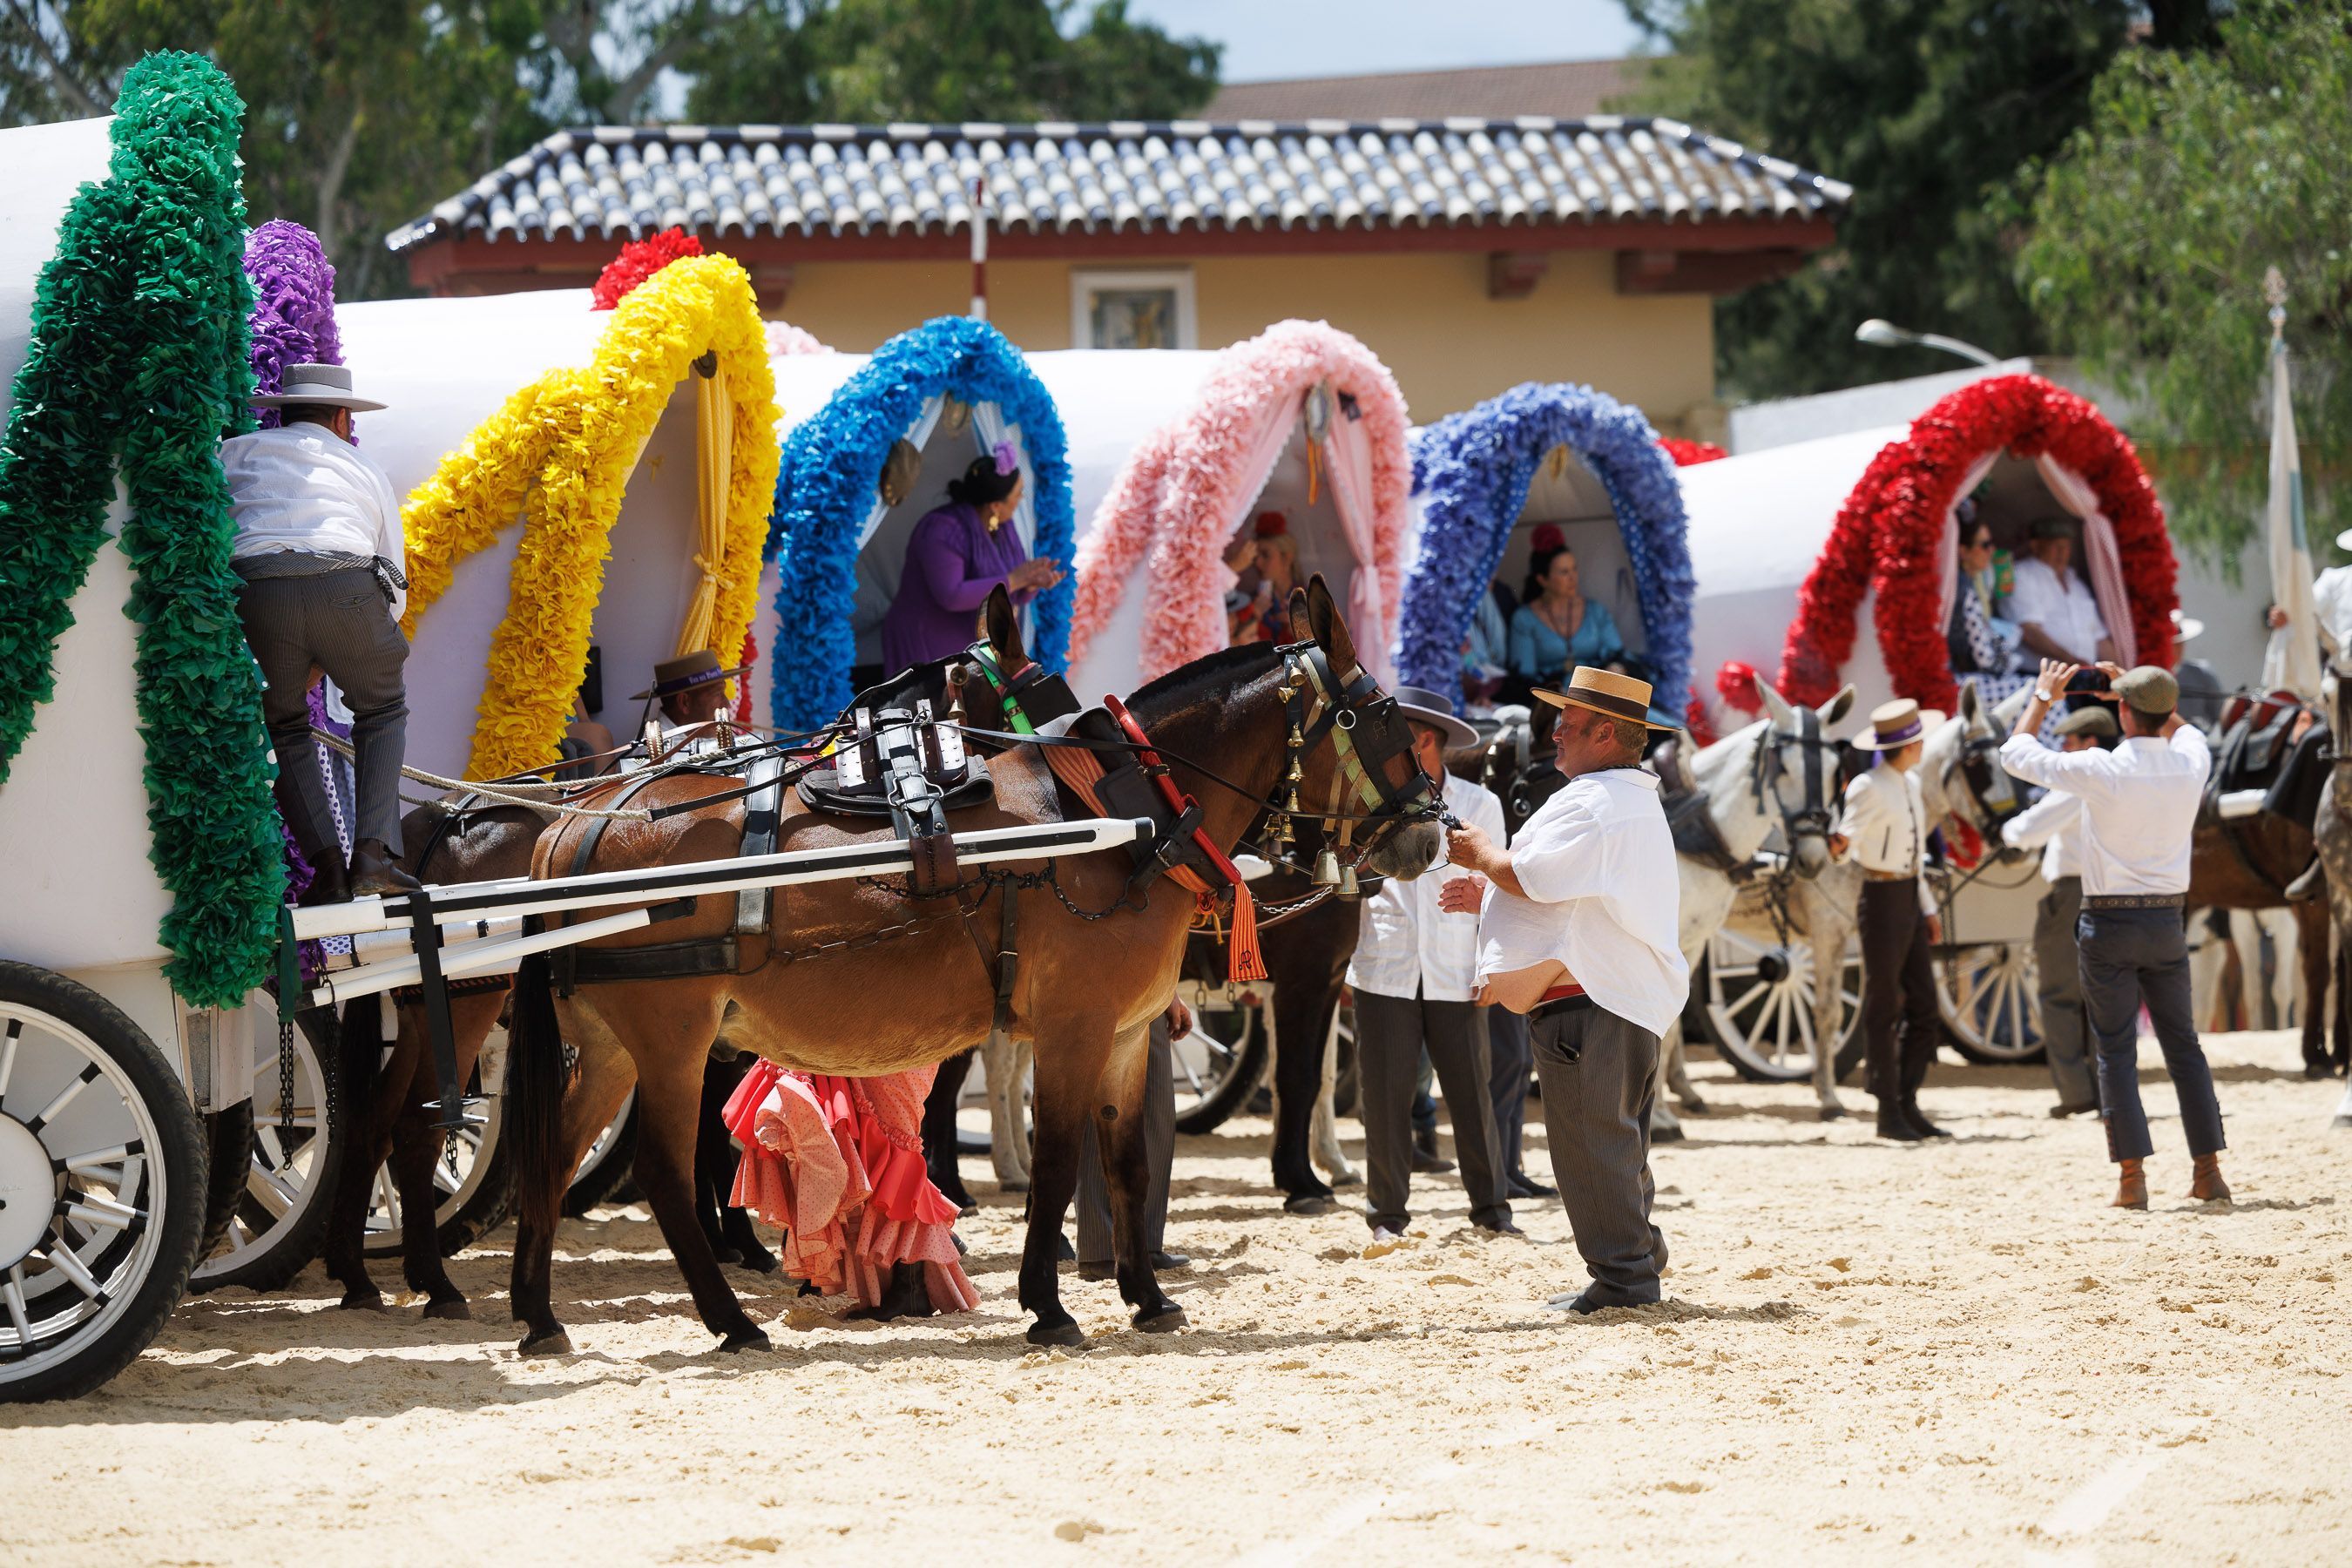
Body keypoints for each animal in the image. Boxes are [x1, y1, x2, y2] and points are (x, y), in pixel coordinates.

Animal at [498, 578, 1446, 1351]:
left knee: (551, 1154)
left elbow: (1127, 1164)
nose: (1430, 830)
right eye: (1384, 718)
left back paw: (540, 1315)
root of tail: (580, 819)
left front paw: (1145, 1297)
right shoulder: (1075, 1028)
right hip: (671, 1043)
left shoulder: (1126, 1035)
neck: (1124, 818)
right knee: (661, 1171)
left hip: (612, 1046)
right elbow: (1059, 1162)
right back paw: (728, 1320)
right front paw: (1050, 1305)